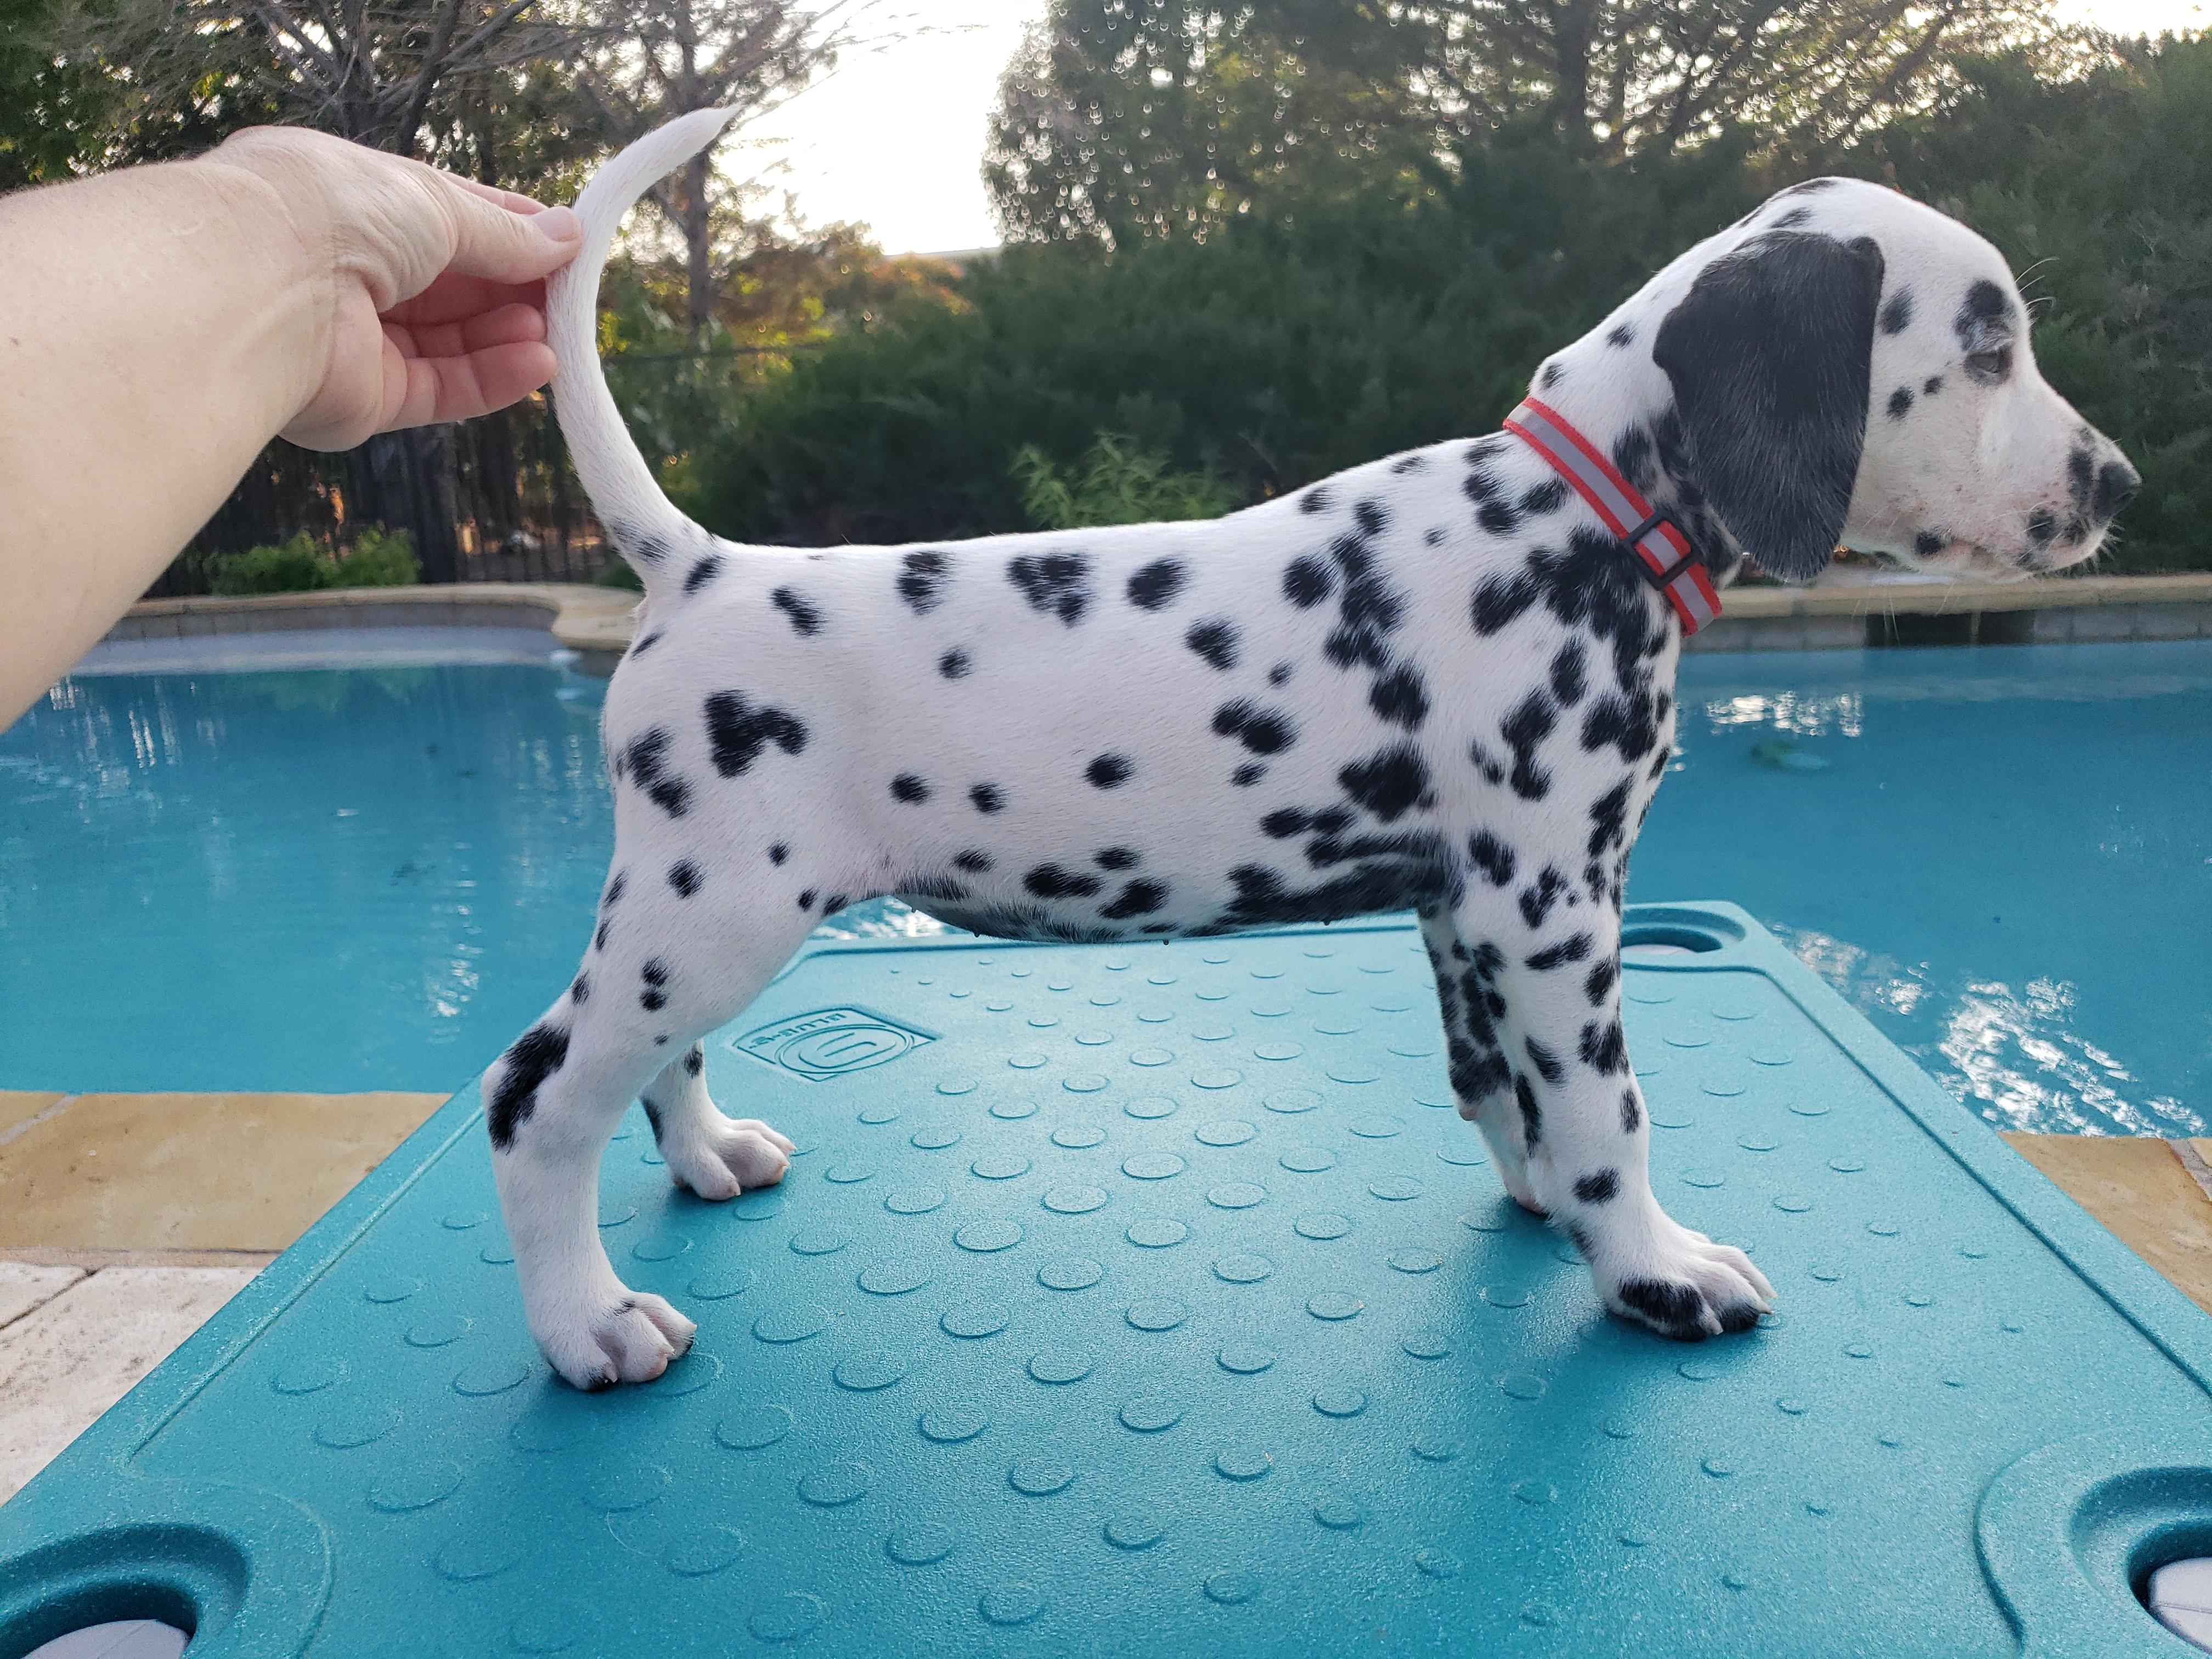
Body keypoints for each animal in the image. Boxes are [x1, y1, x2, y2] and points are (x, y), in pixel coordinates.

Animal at [486, 108, 2138, 1390]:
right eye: (1991, 351)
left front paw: (1546, 1206)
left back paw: (710, 1154)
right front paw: (1652, 1267)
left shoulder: (1463, 912)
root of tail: (699, 565)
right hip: (712, 917)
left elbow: (1499, 1087)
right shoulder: (1553, 910)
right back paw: (589, 1327)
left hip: (700, 929)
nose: (2119, 482)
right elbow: (1607, 1110)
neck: (1576, 520)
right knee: (533, 1100)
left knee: (650, 1069)